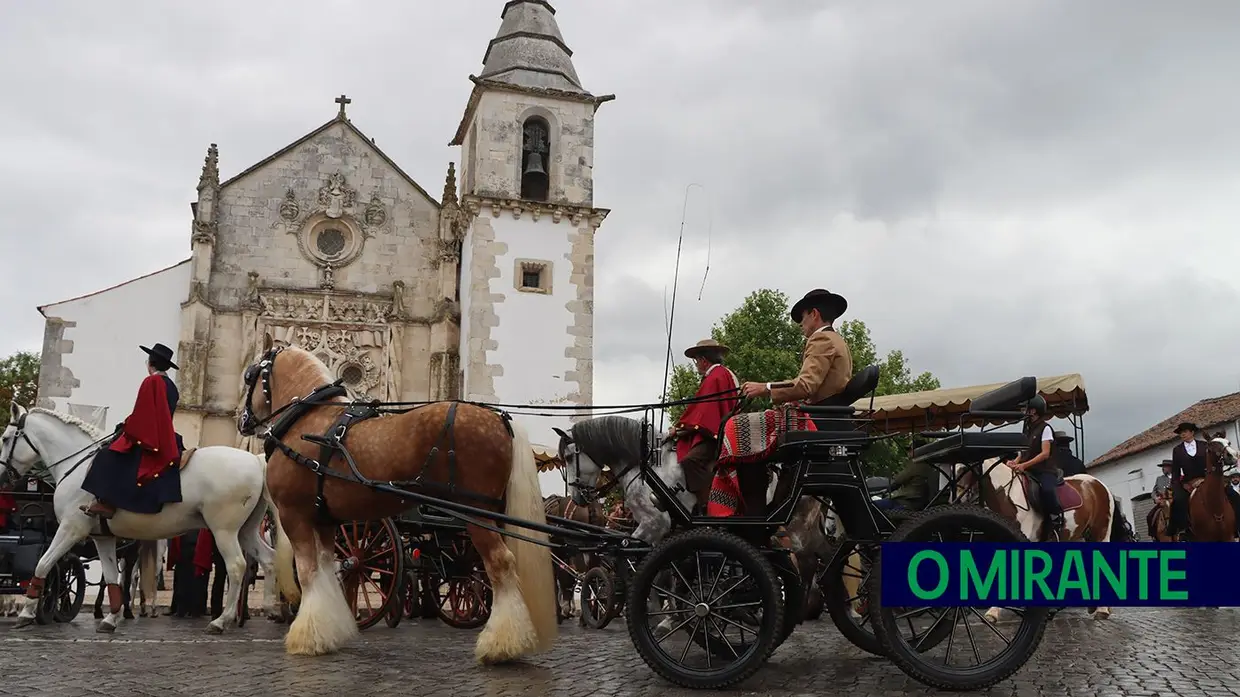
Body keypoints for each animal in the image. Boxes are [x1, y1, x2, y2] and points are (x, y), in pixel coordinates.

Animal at [1, 401, 279, 634]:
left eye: (4, 439)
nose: (4, 476)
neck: (79, 466)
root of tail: (256, 461)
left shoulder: (71, 529)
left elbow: (43, 564)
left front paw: (27, 613)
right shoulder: (103, 537)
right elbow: (111, 578)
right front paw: (110, 619)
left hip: (224, 531)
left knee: (237, 567)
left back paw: (221, 620)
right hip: (246, 531)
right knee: (269, 559)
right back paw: (271, 608)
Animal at [236, 339, 558, 659]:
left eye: (249, 376)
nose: (242, 421)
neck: (307, 421)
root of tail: (500, 419)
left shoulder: (294, 515)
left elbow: (307, 573)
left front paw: (306, 638)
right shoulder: (326, 520)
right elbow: (330, 570)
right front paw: (331, 632)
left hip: (476, 512)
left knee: (500, 564)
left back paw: (502, 644)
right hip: (494, 514)